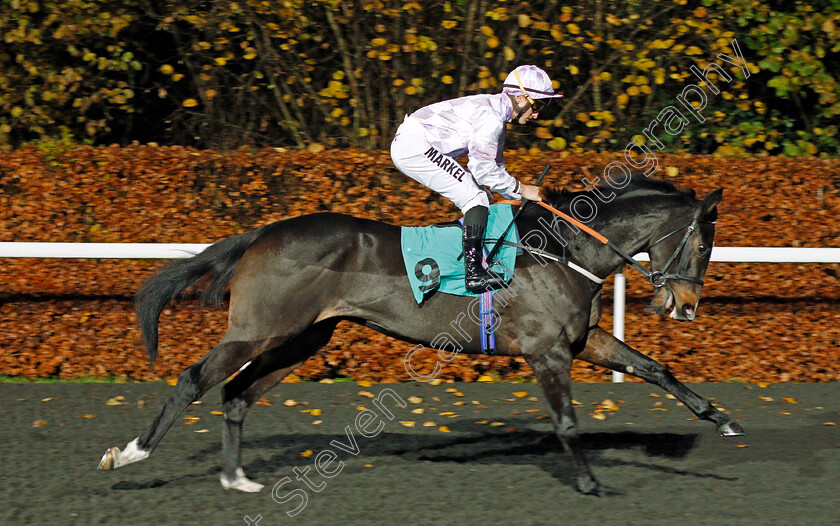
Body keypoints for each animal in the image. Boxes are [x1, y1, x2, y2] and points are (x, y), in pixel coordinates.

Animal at [97, 177, 740, 500]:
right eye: (703, 243)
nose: (685, 306)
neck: (563, 250)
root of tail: (263, 233)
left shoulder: (581, 342)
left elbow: (654, 368)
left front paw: (721, 418)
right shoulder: (547, 352)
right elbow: (567, 422)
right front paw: (589, 482)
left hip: (304, 337)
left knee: (237, 394)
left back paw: (237, 476)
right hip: (260, 328)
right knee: (193, 379)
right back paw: (128, 453)